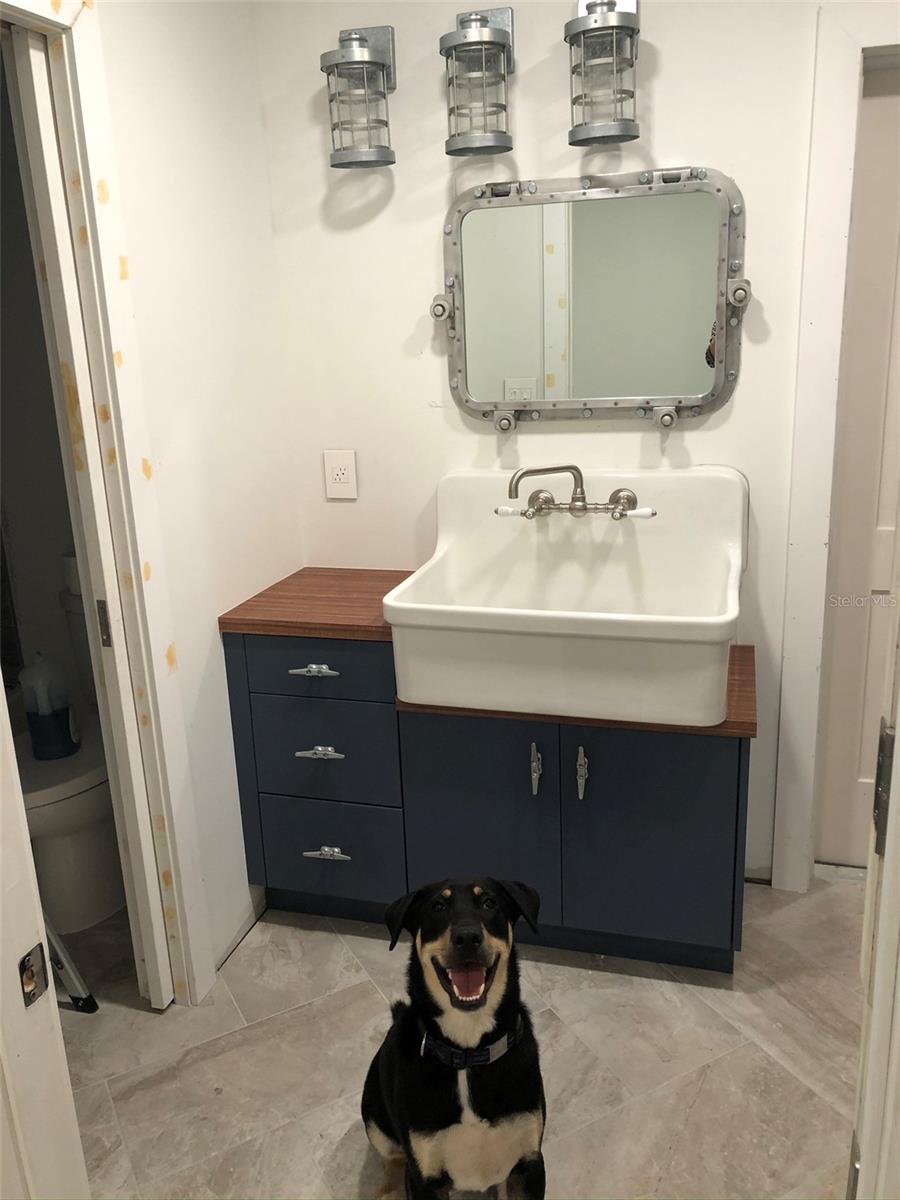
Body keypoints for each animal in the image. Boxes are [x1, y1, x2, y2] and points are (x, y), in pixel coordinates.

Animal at [362, 878, 547, 1195]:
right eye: (437, 906)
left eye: (489, 902)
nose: (468, 937)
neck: (468, 1051)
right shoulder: (423, 1176)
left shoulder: (530, 1162)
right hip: (373, 1116)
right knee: (392, 1161)